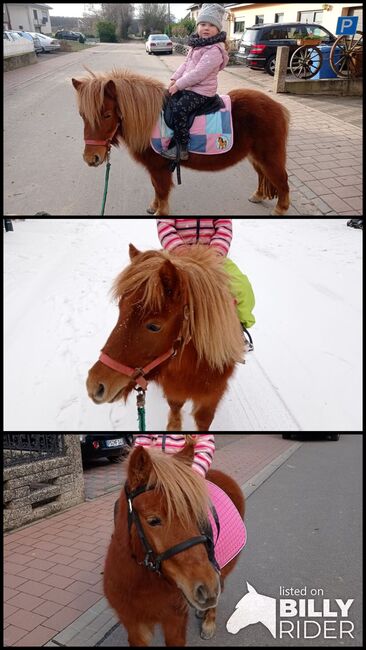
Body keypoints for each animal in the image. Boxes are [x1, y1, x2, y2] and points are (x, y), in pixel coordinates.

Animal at [71, 67, 288, 215]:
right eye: (82, 115)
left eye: (107, 115)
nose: (91, 158)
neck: (150, 121)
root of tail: (278, 107)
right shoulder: (156, 169)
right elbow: (156, 189)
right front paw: (154, 207)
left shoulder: (159, 169)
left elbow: (161, 190)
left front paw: (161, 211)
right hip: (255, 156)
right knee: (262, 175)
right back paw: (258, 196)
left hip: (270, 157)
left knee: (281, 180)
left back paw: (280, 209)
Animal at [87, 243, 244, 430]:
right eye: (120, 311)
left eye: (154, 326)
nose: (95, 385)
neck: (194, 368)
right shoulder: (173, 390)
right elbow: (175, 411)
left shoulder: (211, 398)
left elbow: (203, 421)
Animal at [103, 440, 246, 644]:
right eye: (153, 520)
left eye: (198, 515)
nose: (206, 588)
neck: (141, 582)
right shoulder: (134, 625)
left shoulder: (175, 621)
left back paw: (208, 621)